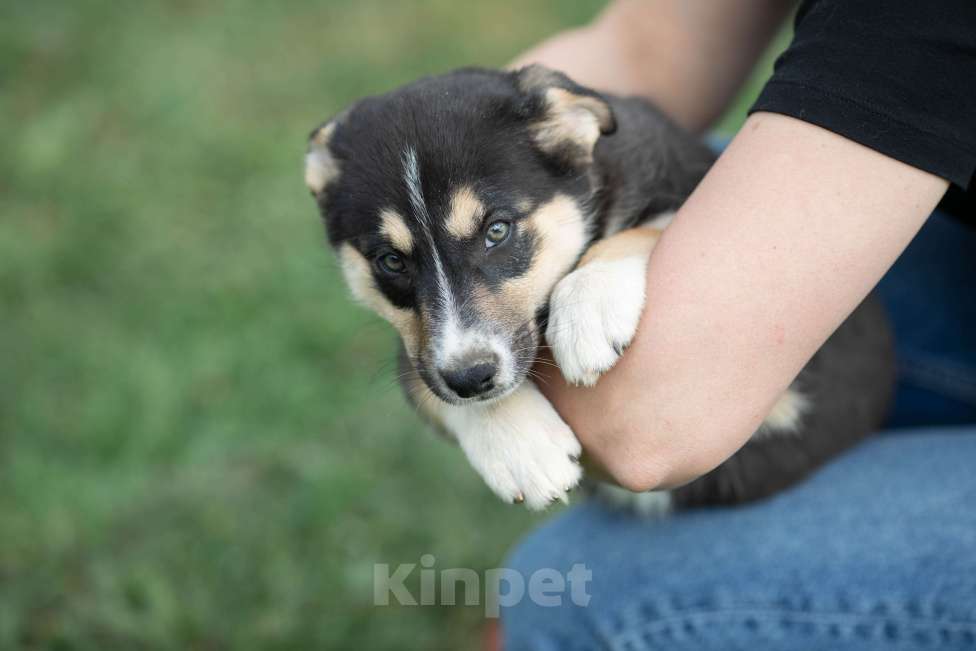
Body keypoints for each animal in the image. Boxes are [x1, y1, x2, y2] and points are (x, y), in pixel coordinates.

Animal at [304, 66, 892, 516]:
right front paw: (519, 447)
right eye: (390, 261)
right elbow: (417, 373)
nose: (470, 378)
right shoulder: (423, 349)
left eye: (497, 231)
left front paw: (586, 312)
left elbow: (644, 227)